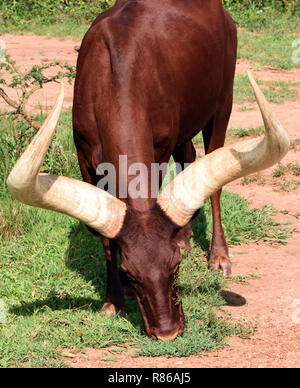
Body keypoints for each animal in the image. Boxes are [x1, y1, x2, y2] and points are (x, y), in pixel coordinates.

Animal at [7, 0, 288, 340]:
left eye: (175, 266)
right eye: (131, 272)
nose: (167, 332)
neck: (113, 80)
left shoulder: (159, 149)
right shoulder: (85, 158)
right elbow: (106, 240)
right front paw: (114, 299)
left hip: (223, 104)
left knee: (214, 178)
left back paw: (219, 256)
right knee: (189, 156)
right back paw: (185, 235)